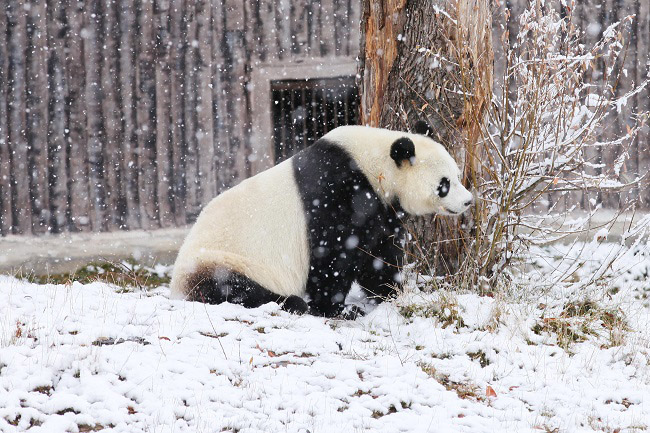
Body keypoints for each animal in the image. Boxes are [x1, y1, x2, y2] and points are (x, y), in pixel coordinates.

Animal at [168, 123, 470, 316]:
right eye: (444, 184)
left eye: (457, 176)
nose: (468, 201)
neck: (374, 166)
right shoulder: (337, 194)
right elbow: (334, 257)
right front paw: (338, 308)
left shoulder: (380, 212)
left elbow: (379, 255)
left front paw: (392, 294)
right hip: (224, 258)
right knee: (231, 288)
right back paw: (291, 302)